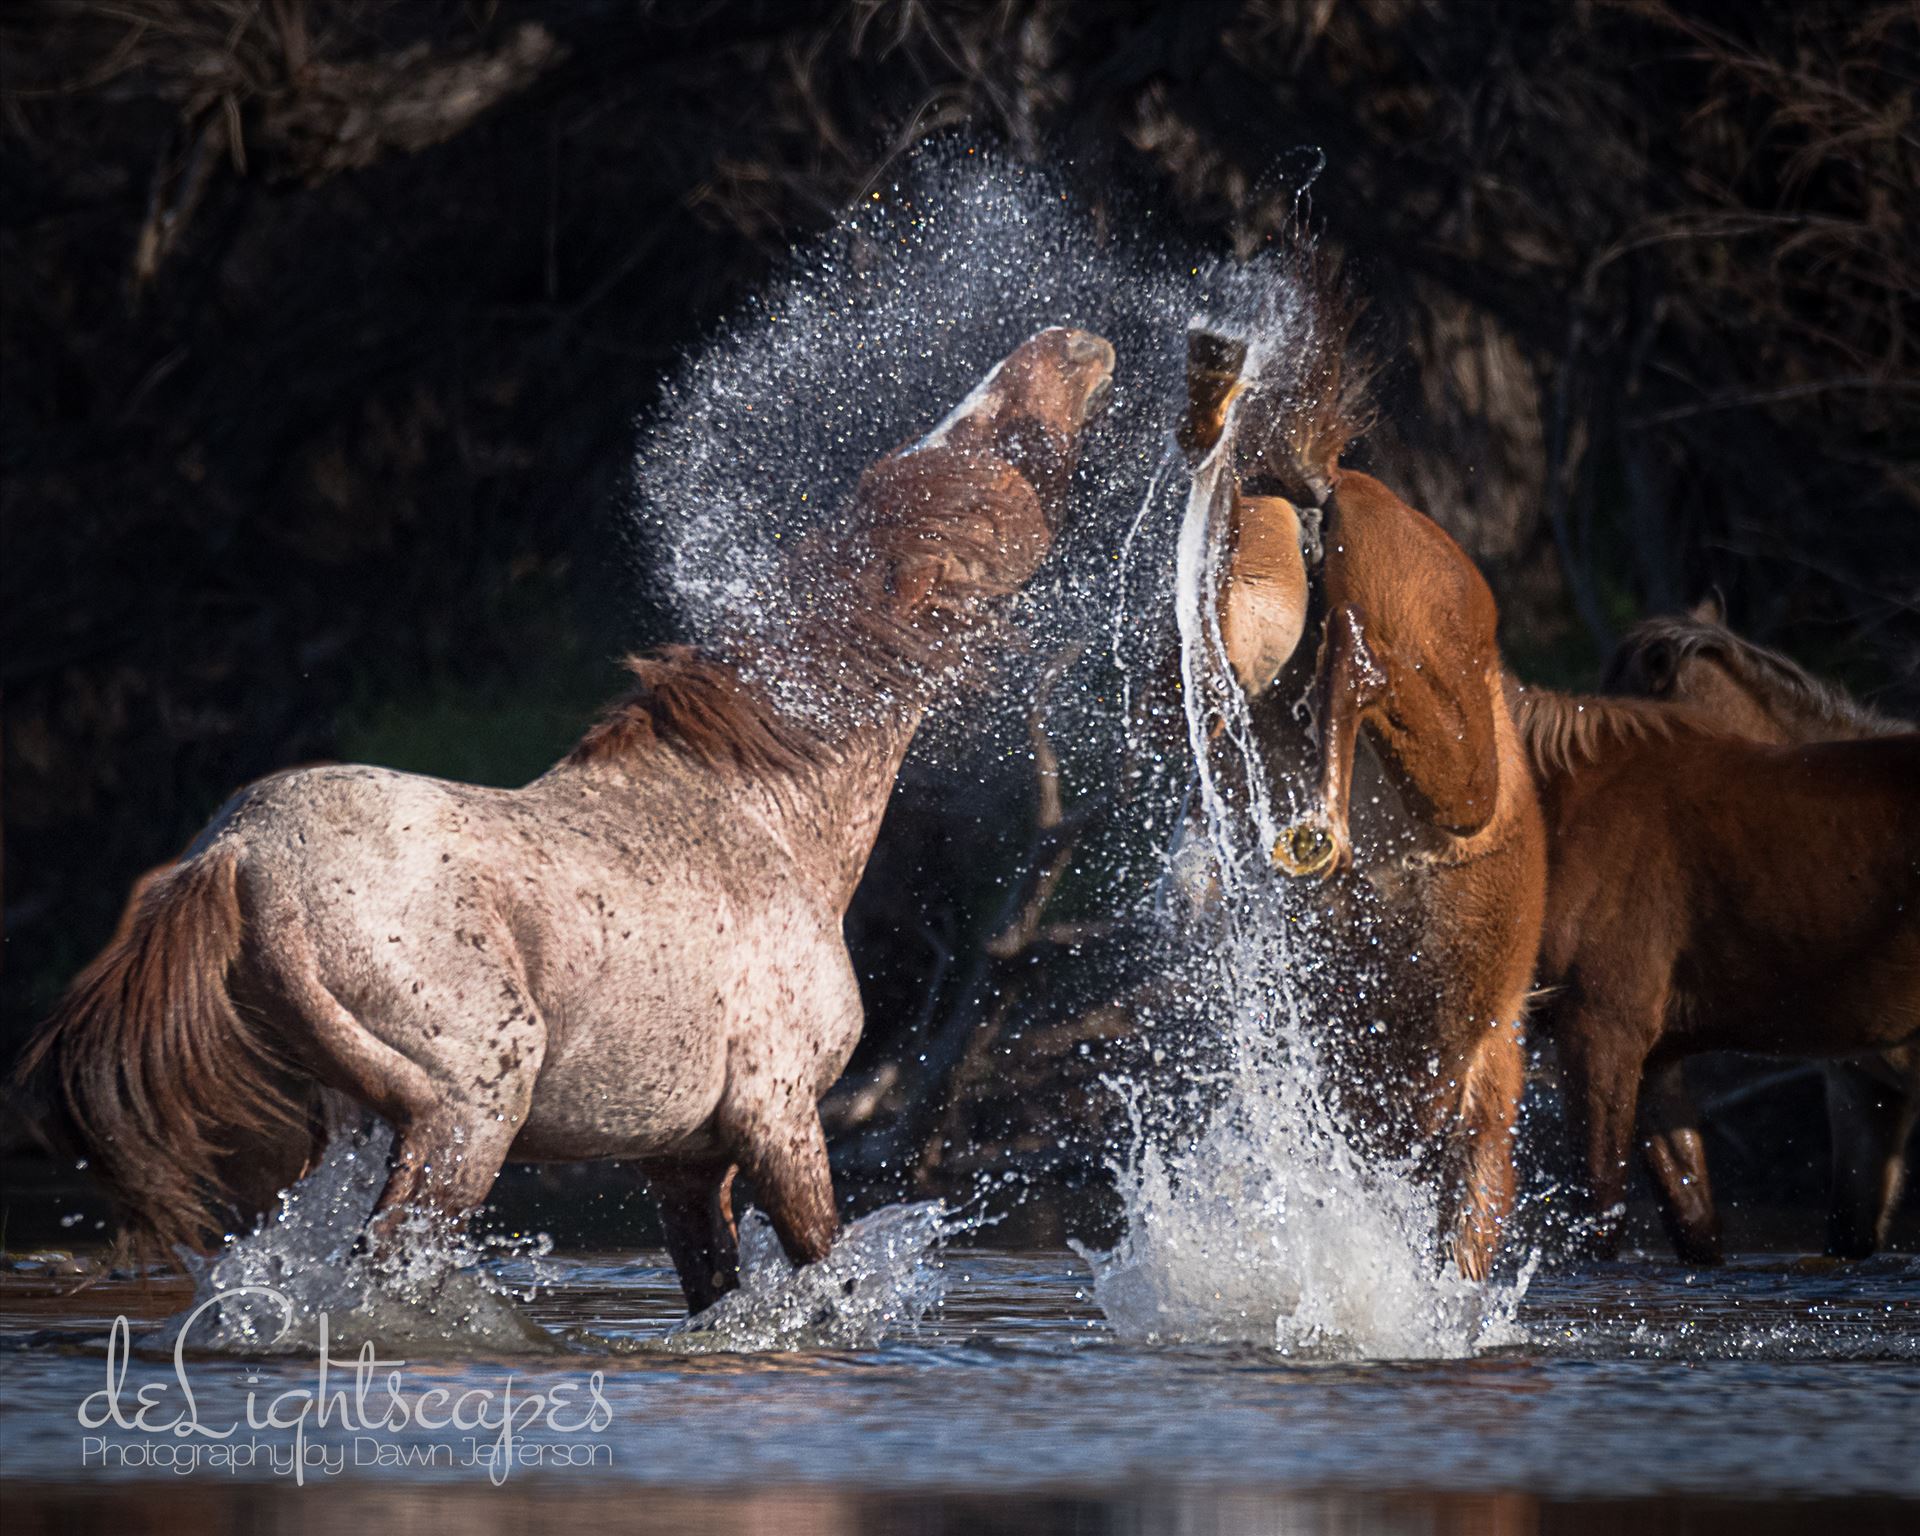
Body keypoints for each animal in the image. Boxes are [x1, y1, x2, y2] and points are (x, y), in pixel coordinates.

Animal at [15, 324, 1121, 1305]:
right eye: (994, 450)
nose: (1079, 346)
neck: (773, 816)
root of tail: (237, 854)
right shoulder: (781, 1119)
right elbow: (830, 1287)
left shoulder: (687, 1165)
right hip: (470, 1109)